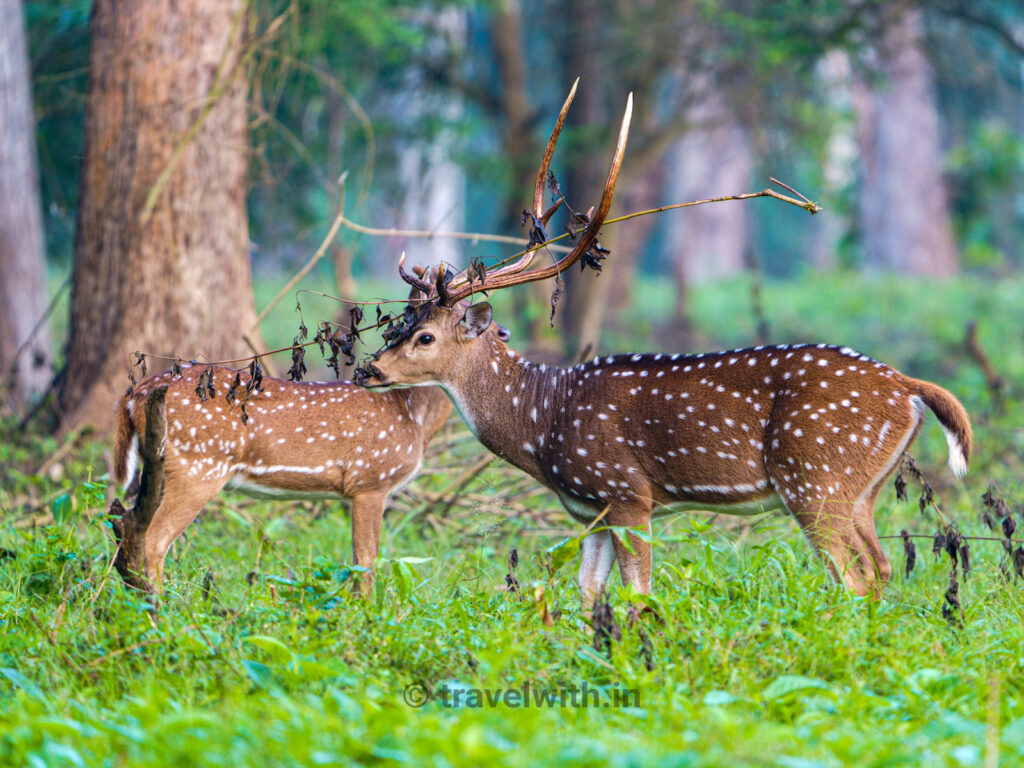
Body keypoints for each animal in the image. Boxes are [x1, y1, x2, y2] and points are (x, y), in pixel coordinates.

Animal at [110, 360, 450, 593]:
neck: (413, 416)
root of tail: (134, 394)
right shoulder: (372, 480)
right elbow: (366, 559)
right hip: (199, 466)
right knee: (153, 539)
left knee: (127, 527)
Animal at [358, 87, 966, 606]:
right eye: (399, 323)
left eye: (425, 336)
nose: (369, 370)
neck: (542, 422)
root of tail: (908, 386)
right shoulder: (593, 508)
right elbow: (589, 591)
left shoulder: (627, 491)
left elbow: (638, 591)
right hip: (863, 488)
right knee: (882, 567)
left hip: (816, 476)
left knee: (854, 574)